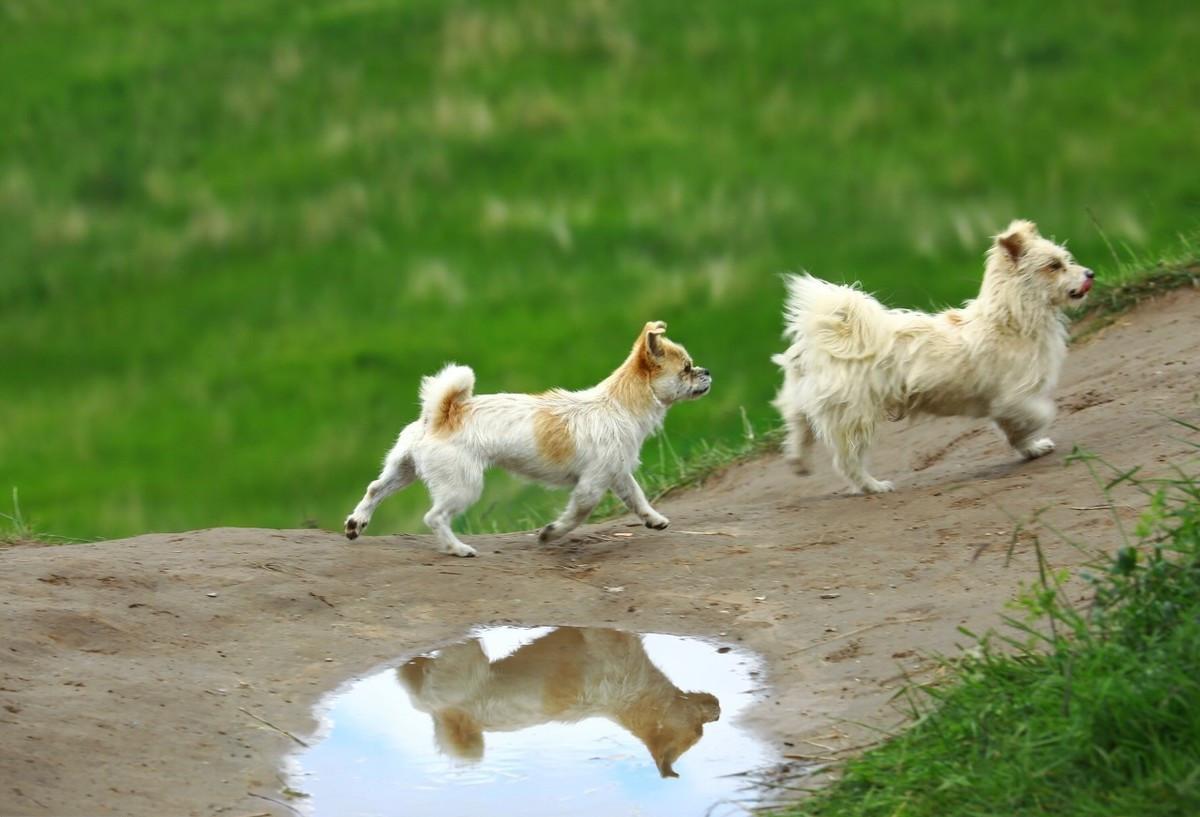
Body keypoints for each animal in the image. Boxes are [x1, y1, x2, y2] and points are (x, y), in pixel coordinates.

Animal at [343, 321, 705, 556]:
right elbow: (577, 515)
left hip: (403, 469)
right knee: (434, 517)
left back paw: (356, 523)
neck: (618, 405)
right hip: (463, 485)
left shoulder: (617, 474)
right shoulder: (591, 485)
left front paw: (654, 519)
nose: (707, 372)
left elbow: (637, 497)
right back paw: (457, 548)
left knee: (375, 489)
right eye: (686, 369)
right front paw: (550, 534)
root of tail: (442, 413)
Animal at [396, 628, 720, 772]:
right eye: (697, 732)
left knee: (416, 689)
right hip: (466, 659)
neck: (633, 697)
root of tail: (455, 718)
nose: (718, 712)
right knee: (421, 693)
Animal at [772, 217, 1094, 494]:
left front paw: (1032, 449)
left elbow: (1017, 432)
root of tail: (821, 341)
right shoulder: (1013, 398)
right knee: (847, 461)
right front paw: (1038, 434)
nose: (1090, 274)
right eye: (1054, 266)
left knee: (798, 429)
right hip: (855, 418)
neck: (1010, 319)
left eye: (1066, 260)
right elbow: (1040, 413)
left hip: (806, 403)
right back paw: (873, 486)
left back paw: (798, 461)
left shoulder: (1006, 405)